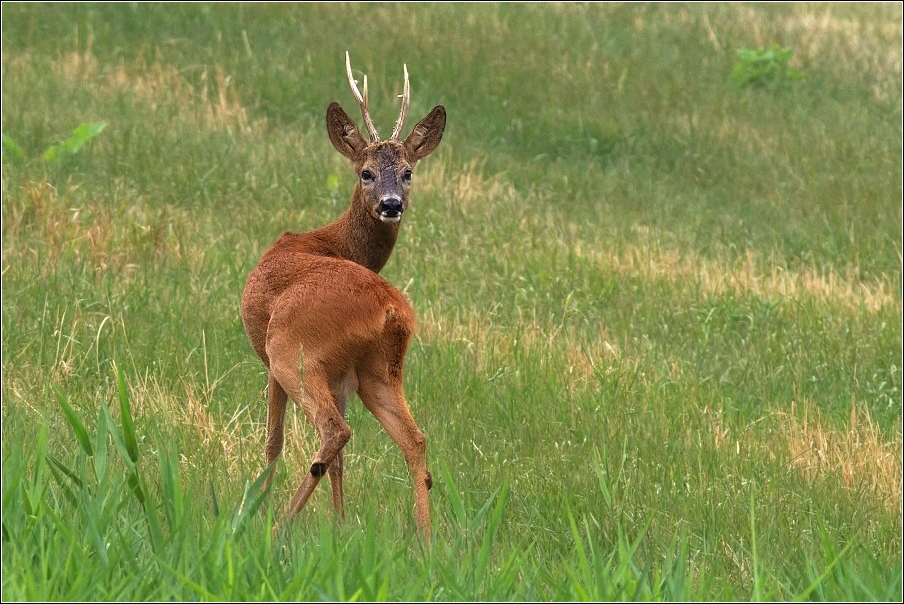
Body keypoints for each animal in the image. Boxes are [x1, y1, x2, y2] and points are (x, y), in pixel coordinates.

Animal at [240, 54, 444, 536]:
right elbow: (340, 464)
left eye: (408, 172)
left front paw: (255, 506)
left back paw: (279, 525)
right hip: (379, 369)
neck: (329, 241)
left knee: (334, 432)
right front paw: (339, 523)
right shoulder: (343, 378)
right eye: (366, 172)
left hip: (292, 351)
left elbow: (273, 441)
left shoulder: (273, 362)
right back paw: (427, 538)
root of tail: (390, 310)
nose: (391, 204)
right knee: (414, 439)